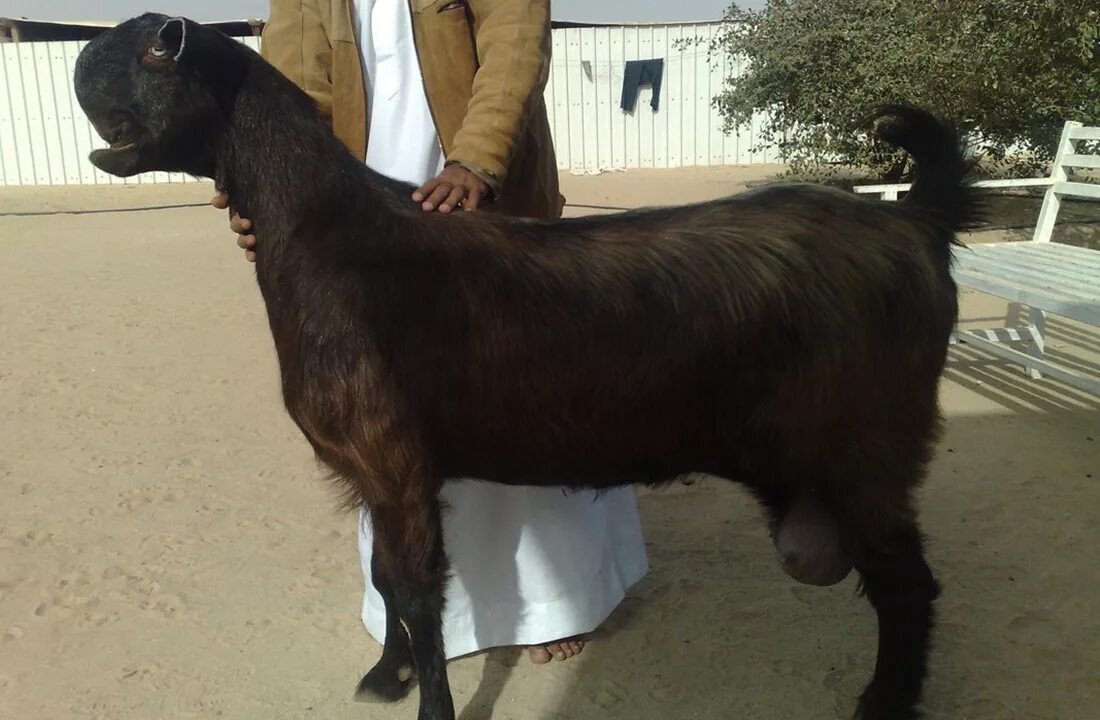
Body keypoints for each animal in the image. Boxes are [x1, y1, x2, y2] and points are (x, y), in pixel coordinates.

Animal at [75, 12, 990, 720]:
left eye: (144, 51)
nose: (82, 57)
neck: (332, 235)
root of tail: (915, 221)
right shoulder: (373, 471)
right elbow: (385, 578)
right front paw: (385, 675)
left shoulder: (394, 460)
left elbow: (417, 592)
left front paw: (429, 704)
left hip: (865, 454)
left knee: (909, 588)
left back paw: (885, 702)